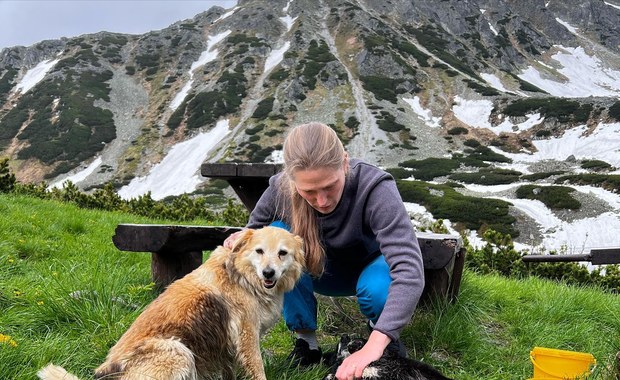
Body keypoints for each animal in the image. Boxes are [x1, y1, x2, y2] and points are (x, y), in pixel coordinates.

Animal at [37, 227, 304, 378]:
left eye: (282, 253)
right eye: (259, 251)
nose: (269, 273)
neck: (243, 276)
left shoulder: (226, 346)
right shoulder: (247, 335)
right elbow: (257, 368)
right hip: (178, 351)